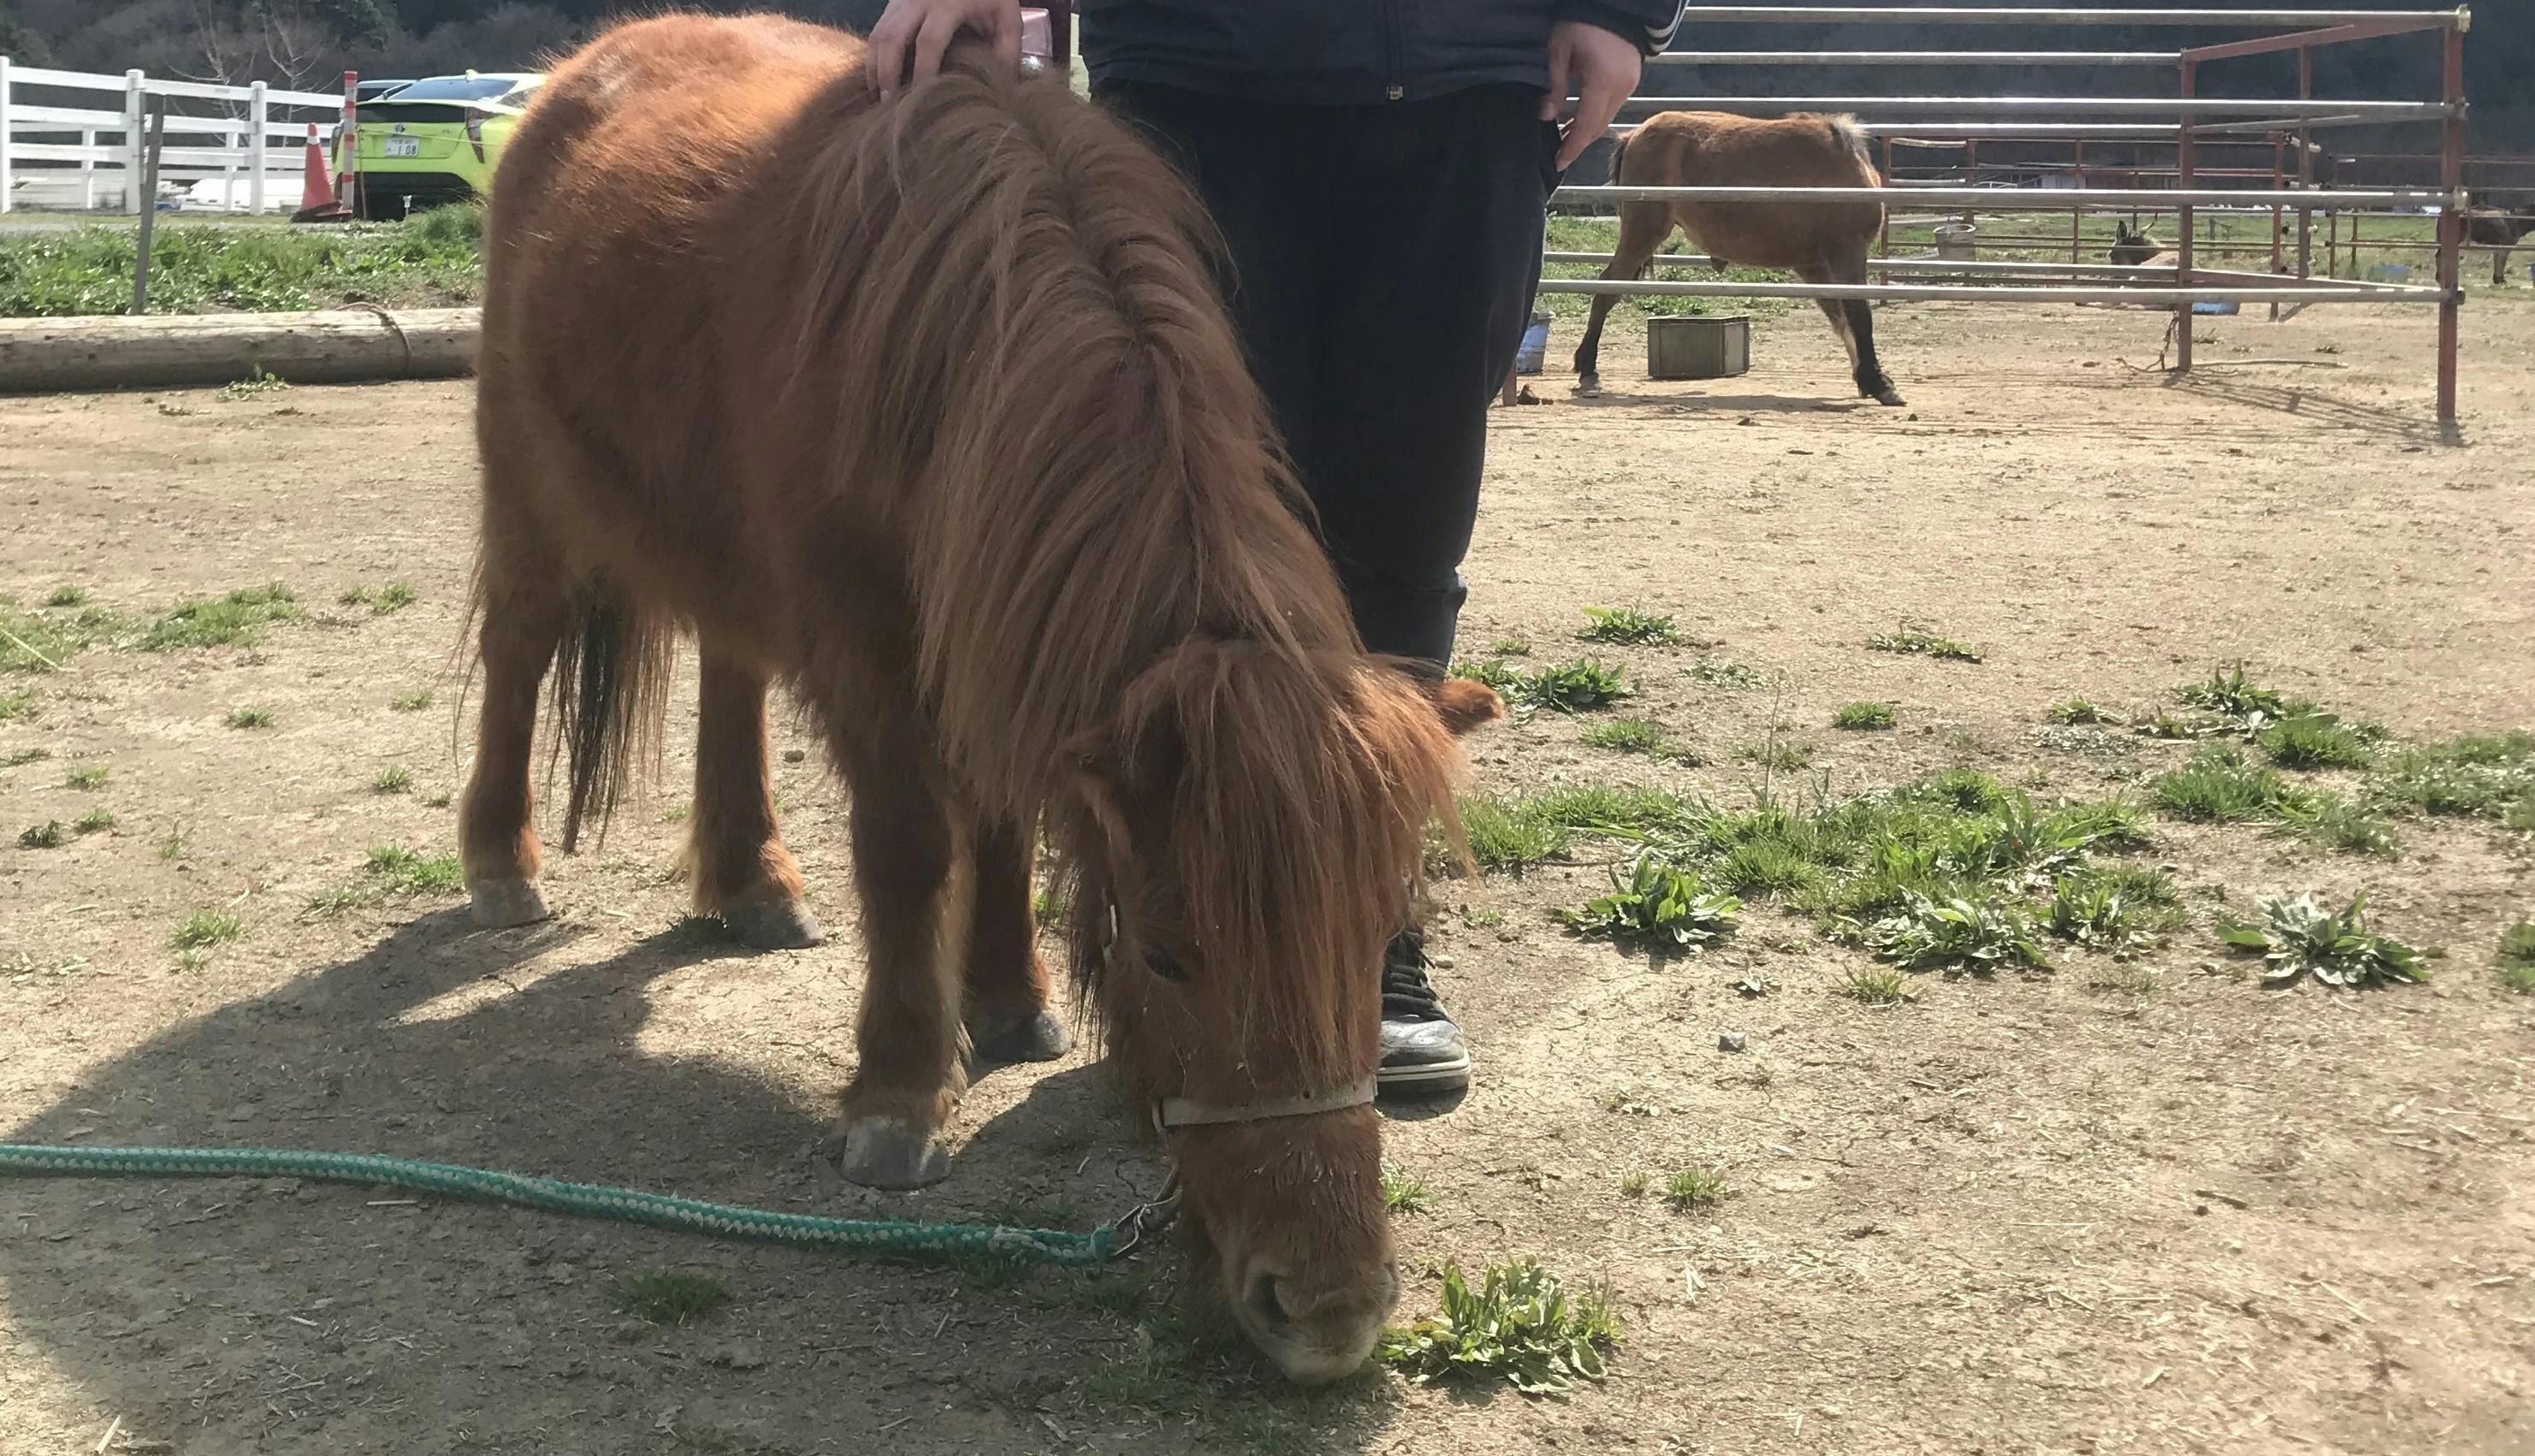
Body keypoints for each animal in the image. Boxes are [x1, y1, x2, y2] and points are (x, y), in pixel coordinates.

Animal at [464, 14, 1490, 1380]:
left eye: (1381, 938)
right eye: (1166, 956)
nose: (1327, 1313)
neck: (963, 317)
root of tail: (585, 71)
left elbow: (1002, 817)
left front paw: (1012, 1002)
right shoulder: (871, 651)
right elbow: (910, 849)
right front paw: (901, 1096)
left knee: (731, 673)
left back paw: (751, 882)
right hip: (528, 490)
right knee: (518, 653)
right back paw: (501, 867)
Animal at [1561, 109, 1906, 408]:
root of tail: (1633, 136)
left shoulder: (1815, 266)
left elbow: (1842, 320)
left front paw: (1867, 379)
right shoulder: (1846, 255)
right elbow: (1859, 317)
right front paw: (1879, 383)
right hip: (1642, 233)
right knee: (1607, 289)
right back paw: (1588, 369)